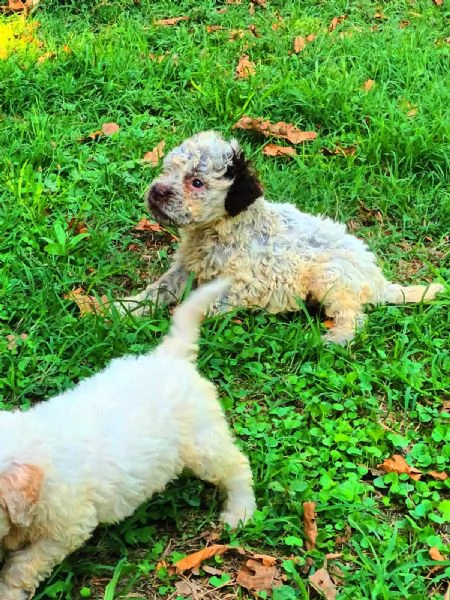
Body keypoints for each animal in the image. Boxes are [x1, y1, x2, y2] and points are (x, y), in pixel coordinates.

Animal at [0, 282, 255, 600]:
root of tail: (169, 357)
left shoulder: (66, 528)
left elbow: (26, 565)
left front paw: (8, 590)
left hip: (202, 443)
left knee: (237, 467)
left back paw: (240, 511)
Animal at [118, 130, 444, 346]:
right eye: (168, 170)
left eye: (196, 182)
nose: (157, 191)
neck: (219, 231)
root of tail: (379, 282)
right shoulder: (186, 269)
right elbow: (159, 289)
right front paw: (125, 308)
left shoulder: (242, 286)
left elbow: (200, 306)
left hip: (331, 275)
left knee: (353, 316)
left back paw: (338, 337)